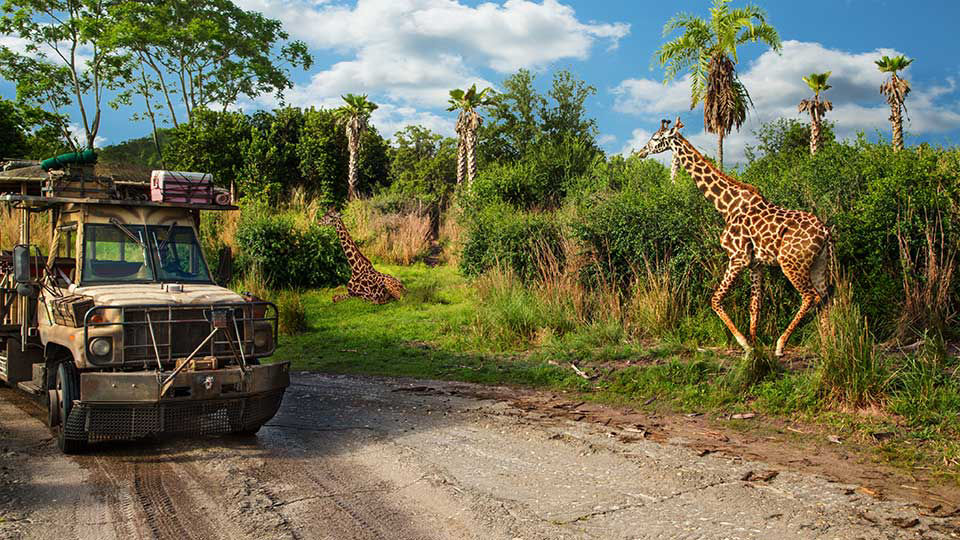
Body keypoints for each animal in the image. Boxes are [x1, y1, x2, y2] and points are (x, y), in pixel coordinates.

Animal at [634, 118, 833, 357]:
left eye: (655, 138)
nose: (641, 152)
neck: (726, 206)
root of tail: (825, 232)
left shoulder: (738, 257)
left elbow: (715, 299)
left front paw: (745, 344)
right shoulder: (756, 263)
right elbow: (755, 305)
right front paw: (755, 349)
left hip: (791, 262)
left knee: (810, 296)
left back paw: (781, 344)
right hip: (818, 264)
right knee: (825, 297)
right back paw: (829, 347)